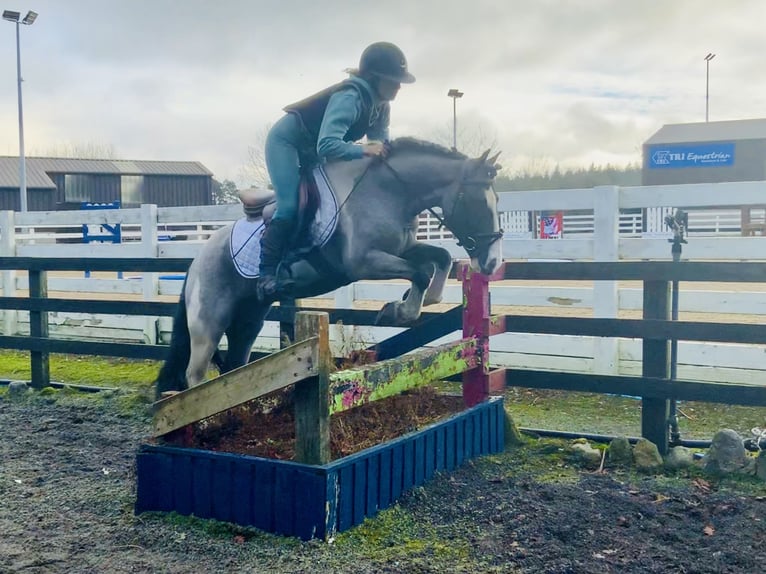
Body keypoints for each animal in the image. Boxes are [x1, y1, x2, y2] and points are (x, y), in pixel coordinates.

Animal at [155, 140, 504, 400]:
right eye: (478, 203)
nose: (491, 263)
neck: (390, 191)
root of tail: (196, 263)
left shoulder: (401, 248)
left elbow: (441, 258)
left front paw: (419, 300)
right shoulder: (363, 262)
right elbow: (418, 272)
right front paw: (397, 311)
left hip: (248, 320)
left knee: (234, 368)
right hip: (209, 323)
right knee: (195, 375)